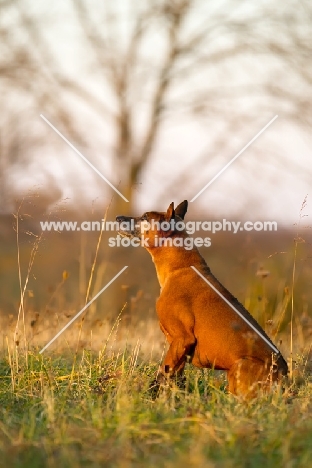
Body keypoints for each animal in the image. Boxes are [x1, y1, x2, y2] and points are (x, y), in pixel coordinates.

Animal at [116, 201, 288, 398]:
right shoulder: (180, 350)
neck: (180, 267)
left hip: (240, 366)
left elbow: (161, 375)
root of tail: (285, 380)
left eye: (145, 217)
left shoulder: (182, 339)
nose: (118, 218)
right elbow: (173, 378)